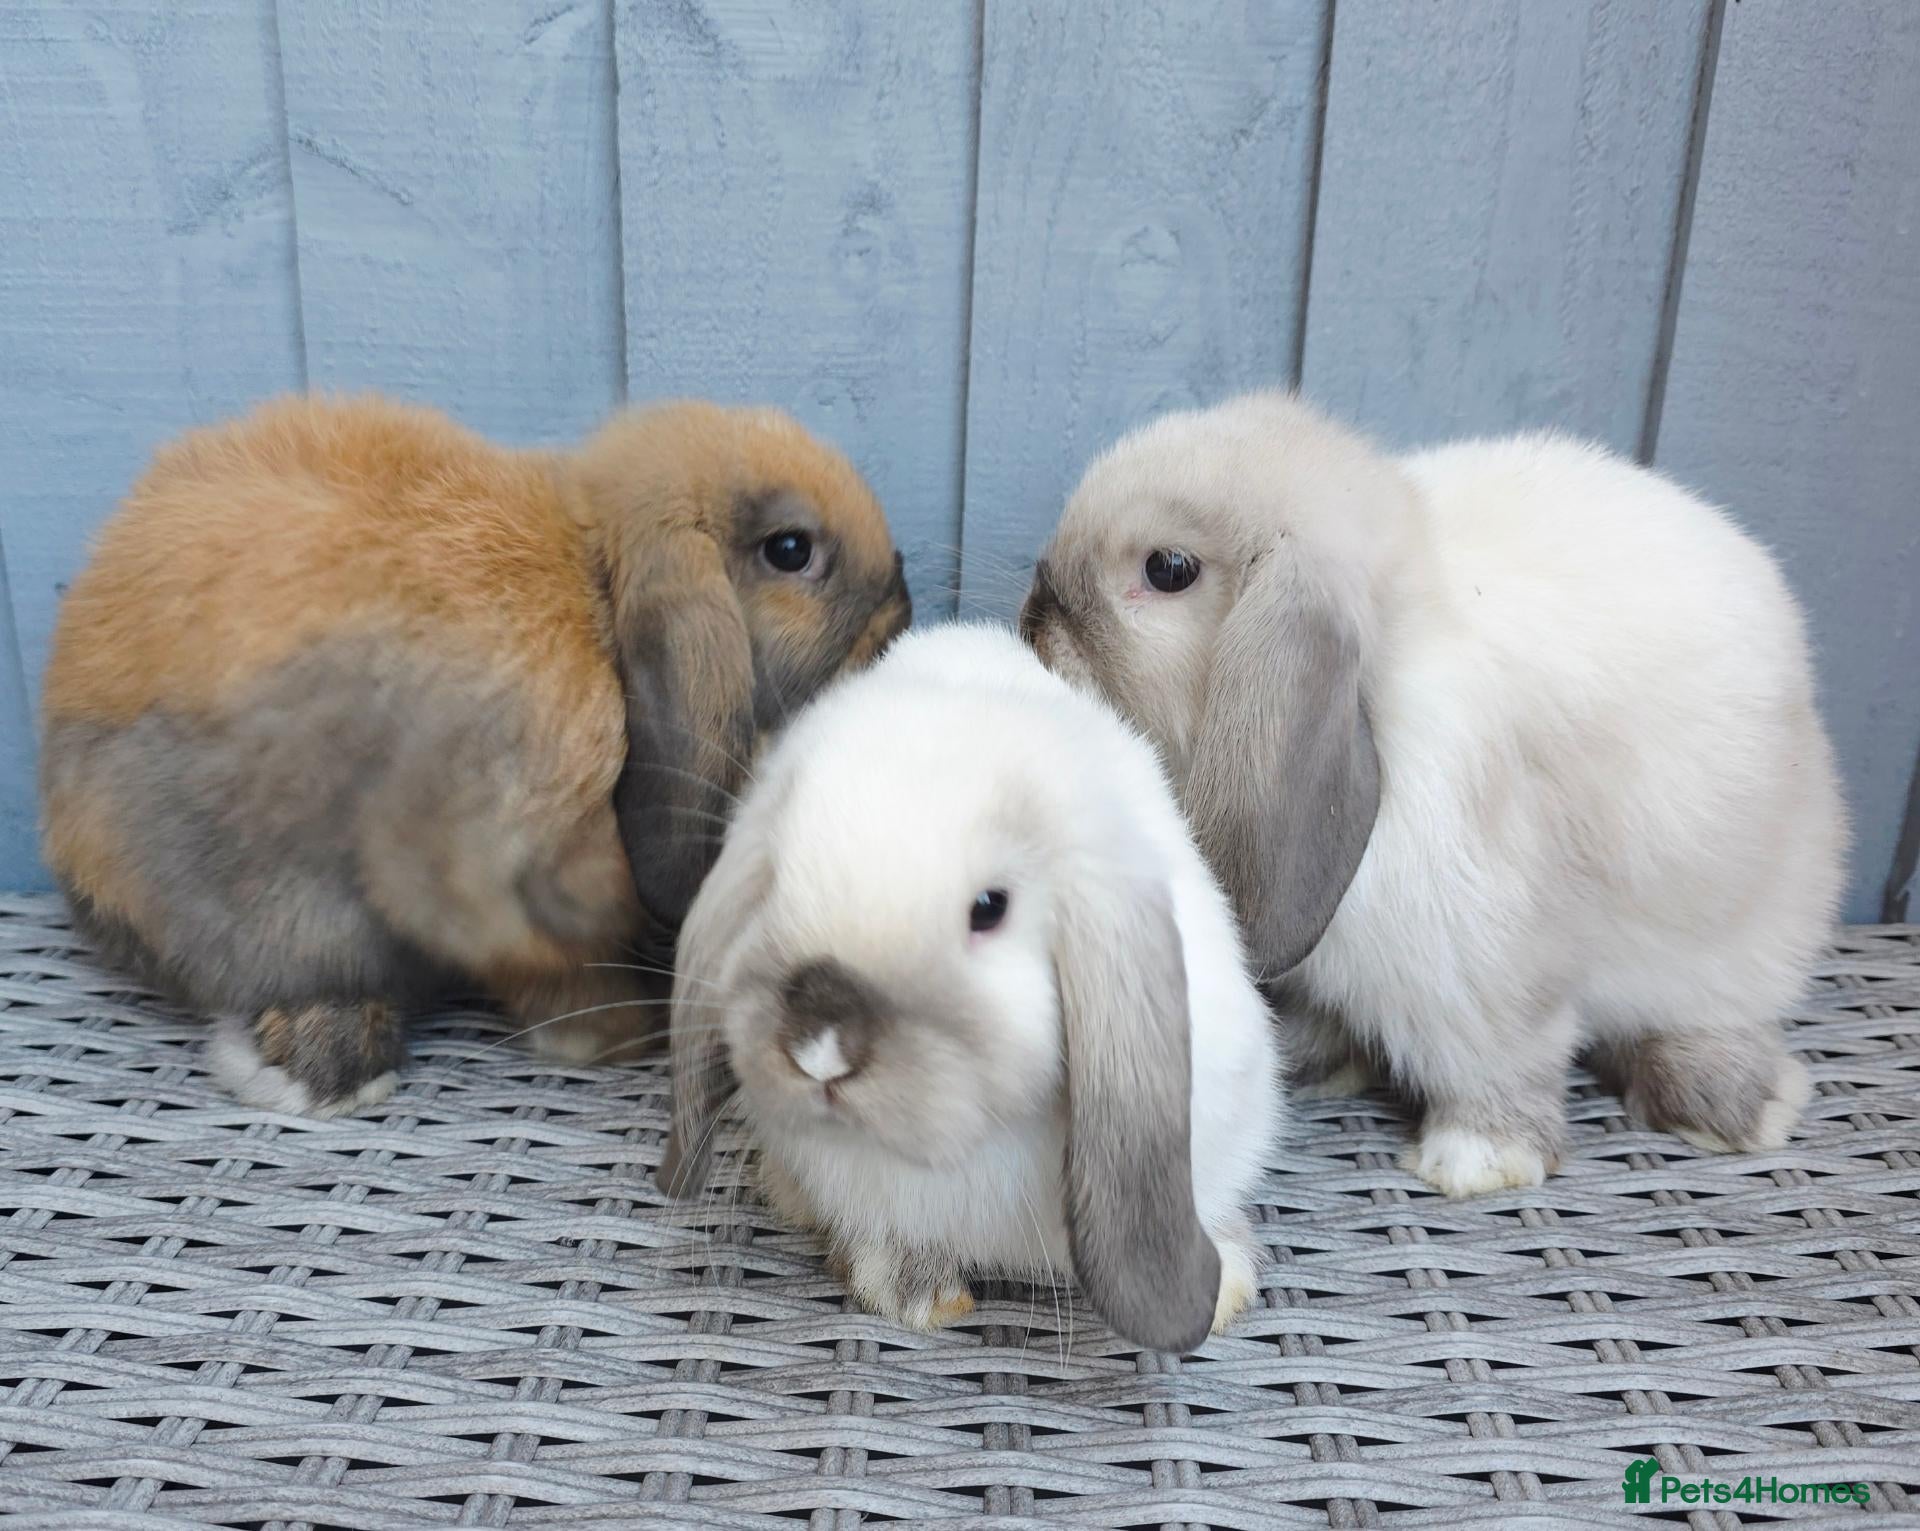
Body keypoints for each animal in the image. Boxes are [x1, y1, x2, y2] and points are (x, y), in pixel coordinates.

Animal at [40, 392, 910, 1117]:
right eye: (791, 549)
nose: (901, 610)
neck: (593, 588)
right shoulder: (496, 867)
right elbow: (545, 966)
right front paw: (613, 1036)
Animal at [656, 622, 1283, 1354]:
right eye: (775, 882)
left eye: (989, 908)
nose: (819, 1046)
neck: (972, 1150)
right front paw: (916, 1295)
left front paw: (1226, 1292)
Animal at [1019, 390, 1846, 1198]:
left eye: (1168, 568)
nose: (1033, 618)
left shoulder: (1486, 962)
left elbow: (1499, 1056)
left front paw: (1478, 1160)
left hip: (1738, 947)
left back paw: (1733, 1108)